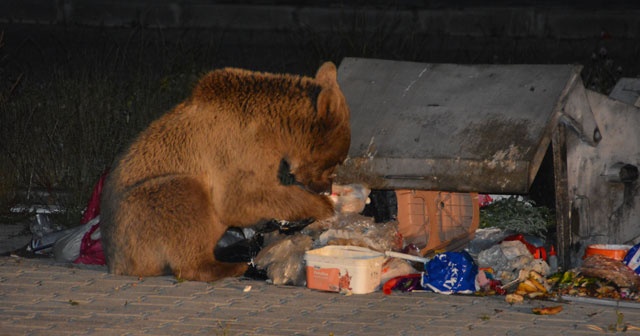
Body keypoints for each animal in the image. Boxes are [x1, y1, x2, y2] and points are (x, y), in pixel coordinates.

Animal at [100, 62, 350, 280]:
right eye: (336, 162)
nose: (326, 188)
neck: (276, 131)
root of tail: (115, 262)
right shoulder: (237, 147)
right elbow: (239, 199)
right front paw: (322, 206)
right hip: (138, 218)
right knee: (183, 197)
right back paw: (232, 265)